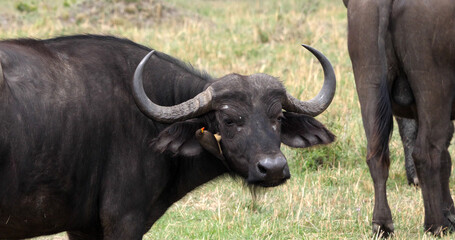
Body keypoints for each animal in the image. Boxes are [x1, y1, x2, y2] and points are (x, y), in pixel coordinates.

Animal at [346, 0, 455, 236]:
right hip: (434, 89)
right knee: (426, 153)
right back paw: (436, 224)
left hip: (368, 80)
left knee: (376, 155)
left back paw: (382, 224)